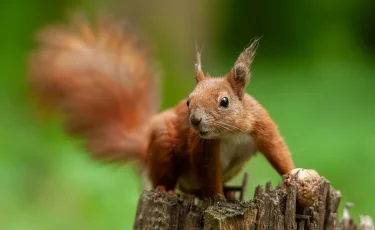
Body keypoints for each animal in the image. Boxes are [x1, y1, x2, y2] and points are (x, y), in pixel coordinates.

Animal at [27, 14, 296, 198]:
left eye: (224, 101)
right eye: (188, 101)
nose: (195, 120)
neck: (231, 134)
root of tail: (145, 149)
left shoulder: (261, 126)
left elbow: (277, 150)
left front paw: (292, 177)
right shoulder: (204, 149)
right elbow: (209, 175)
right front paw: (217, 196)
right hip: (164, 144)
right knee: (165, 179)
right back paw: (169, 190)